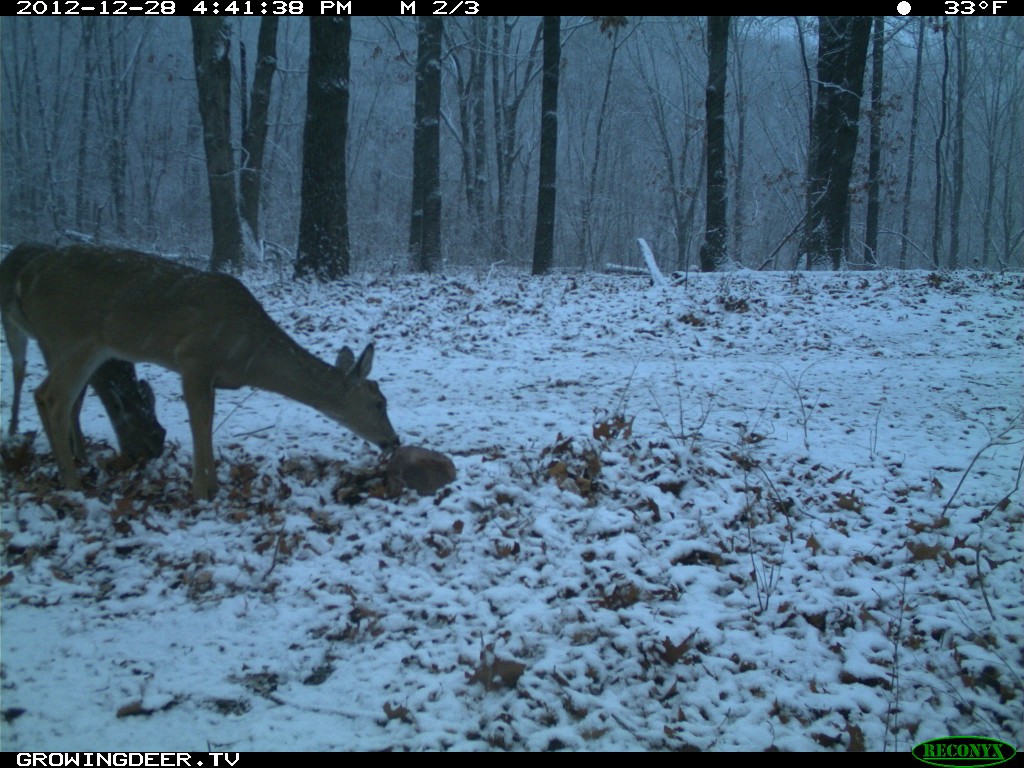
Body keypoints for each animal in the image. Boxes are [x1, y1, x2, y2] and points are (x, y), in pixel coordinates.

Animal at [1, 244, 165, 462]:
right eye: (143, 442)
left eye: (162, 433)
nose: (158, 452)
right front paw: (77, 453)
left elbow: (77, 403)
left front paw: (77, 448)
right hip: (10, 322)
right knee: (18, 370)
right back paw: (12, 428)